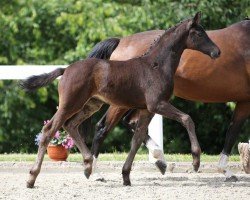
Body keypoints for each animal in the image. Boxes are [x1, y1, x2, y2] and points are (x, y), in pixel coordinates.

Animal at [22, 12, 220, 188]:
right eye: (199, 33)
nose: (217, 51)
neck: (156, 66)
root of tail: (66, 69)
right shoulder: (157, 104)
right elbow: (187, 119)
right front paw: (196, 160)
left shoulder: (147, 110)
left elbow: (137, 139)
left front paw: (126, 176)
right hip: (71, 104)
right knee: (49, 130)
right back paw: (32, 178)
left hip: (91, 104)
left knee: (70, 125)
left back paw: (87, 165)